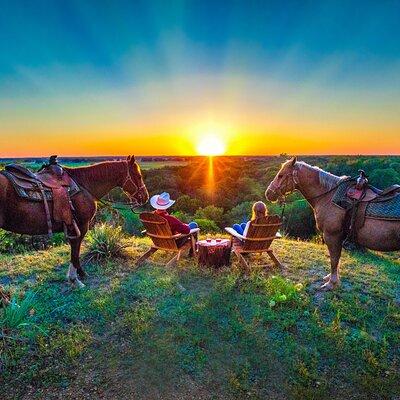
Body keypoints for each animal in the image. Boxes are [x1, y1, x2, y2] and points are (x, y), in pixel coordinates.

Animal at [0, 156, 148, 288]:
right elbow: (76, 250)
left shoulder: (72, 227)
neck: (84, 185)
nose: (145, 197)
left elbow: (73, 249)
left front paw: (78, 274)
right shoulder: (81, 225)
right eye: (138, 176)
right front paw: (75, 278)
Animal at [266, 158, 400, 292]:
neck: (328, 196)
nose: (268, 193)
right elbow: (336, 258)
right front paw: (331, 278)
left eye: (280, 175)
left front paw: (331, 283)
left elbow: (334, 259)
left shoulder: (332, 235)